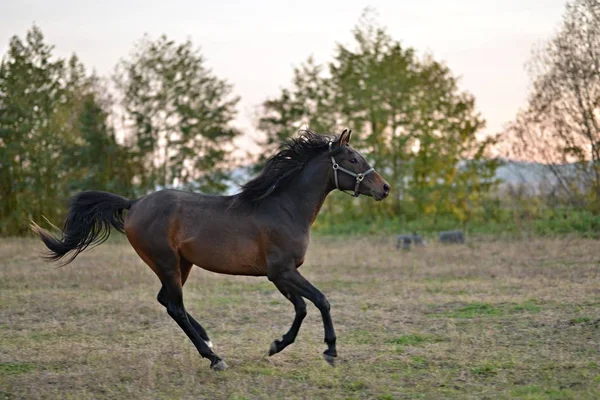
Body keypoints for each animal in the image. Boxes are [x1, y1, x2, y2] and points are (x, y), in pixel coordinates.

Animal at [32, 130, 392, 370]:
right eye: (352, 159)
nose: (385, 188)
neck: (285, 208)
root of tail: (134, 204)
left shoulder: (281, 275)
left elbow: (304, 307)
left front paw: (278, 345)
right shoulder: (281, 272)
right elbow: (319, 301)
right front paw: (327, 351)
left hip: (182, 264)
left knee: (166, 301)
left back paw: (207, 339)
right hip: (167, 263)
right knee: (175, 306)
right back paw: (214, 357)